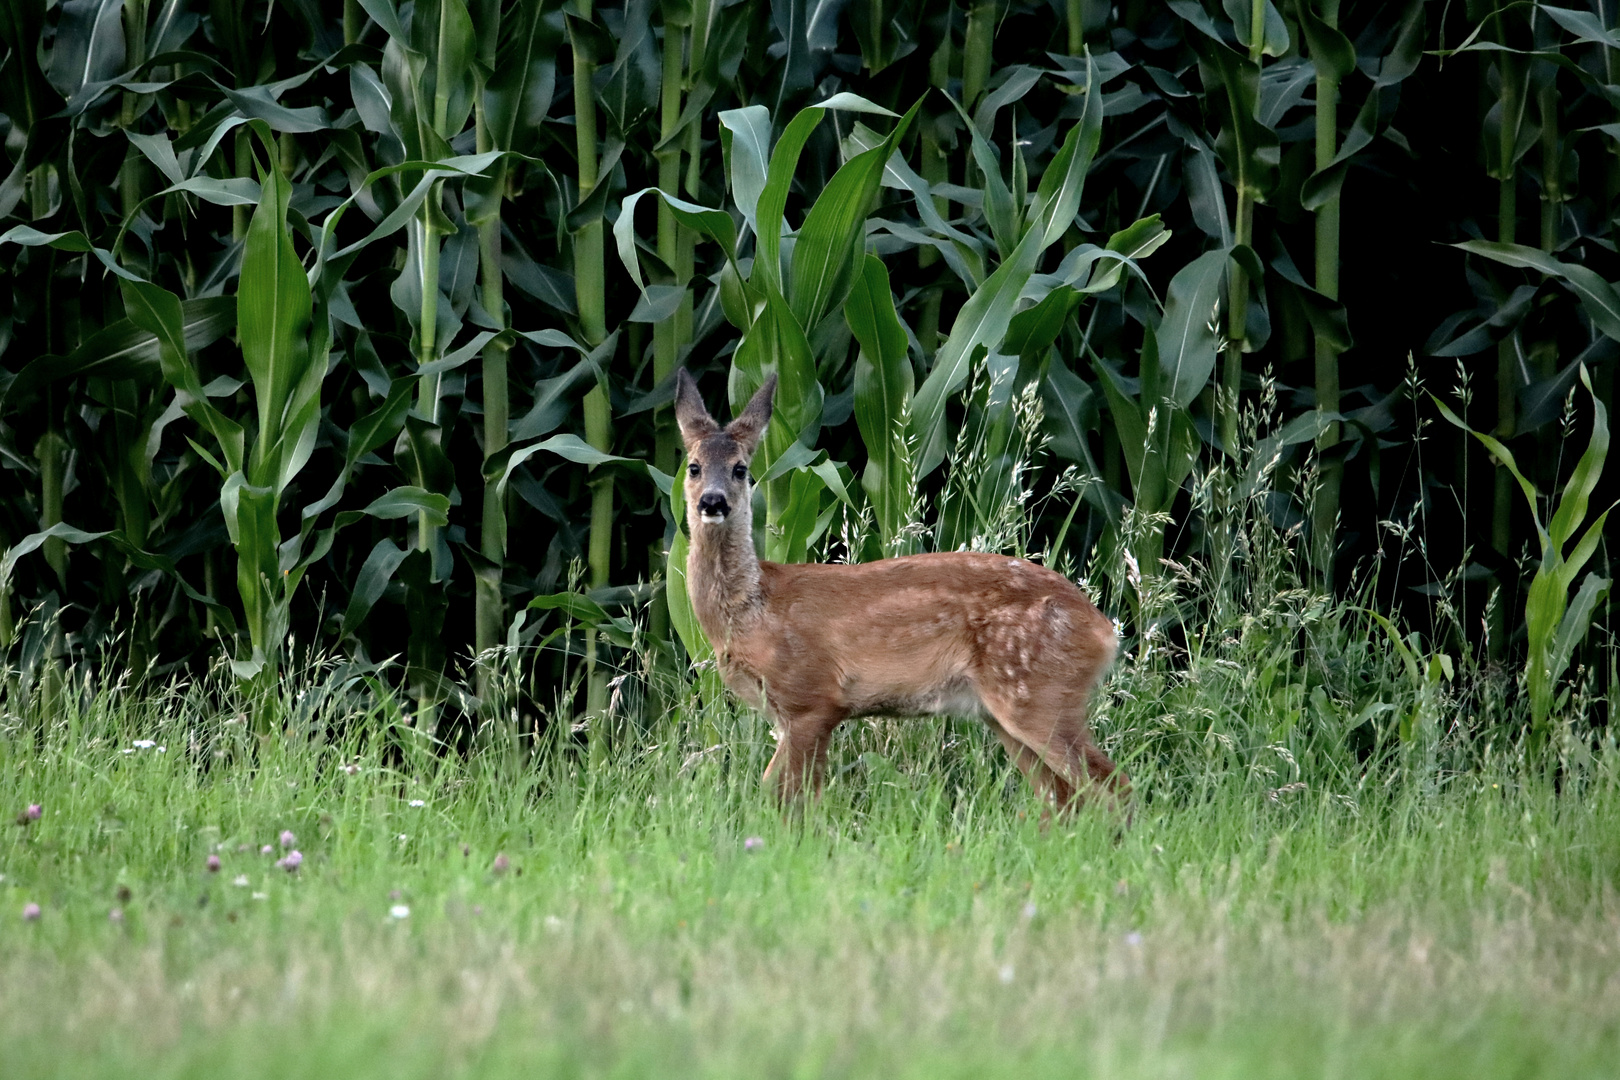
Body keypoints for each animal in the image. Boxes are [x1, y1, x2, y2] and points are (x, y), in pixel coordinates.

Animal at [670, 367, 1127, 816]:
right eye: (693, 467)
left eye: (740, 469)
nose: (713, 502)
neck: (753, 611)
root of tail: (1104, 630)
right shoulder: (789, 713)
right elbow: (773, 791)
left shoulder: (813, 698)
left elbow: (795, 801)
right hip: (1007, 713)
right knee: (1061, 800)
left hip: (1041, 694)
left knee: (1113, 786)